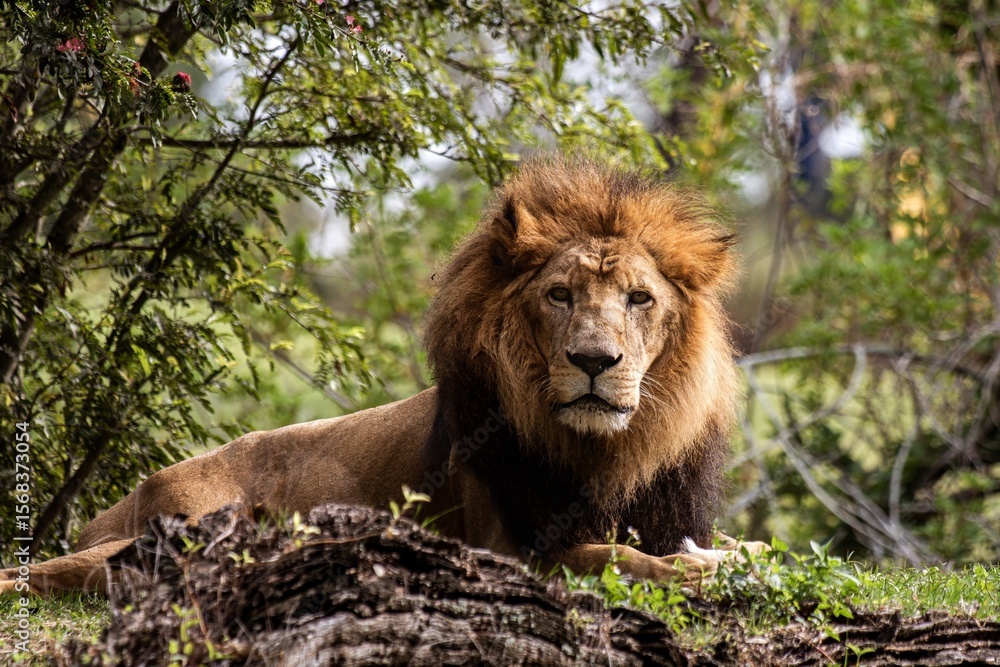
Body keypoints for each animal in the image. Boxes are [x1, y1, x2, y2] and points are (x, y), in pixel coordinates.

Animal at [1, 156, 763, 596]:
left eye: (639, 299)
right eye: (559, 295)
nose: (594, 362)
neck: (607, 450)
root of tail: (120, 500)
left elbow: (721, 544)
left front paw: (737, 554)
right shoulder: (506, 548)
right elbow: (615, 556)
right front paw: (694, 570)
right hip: (183, 526)